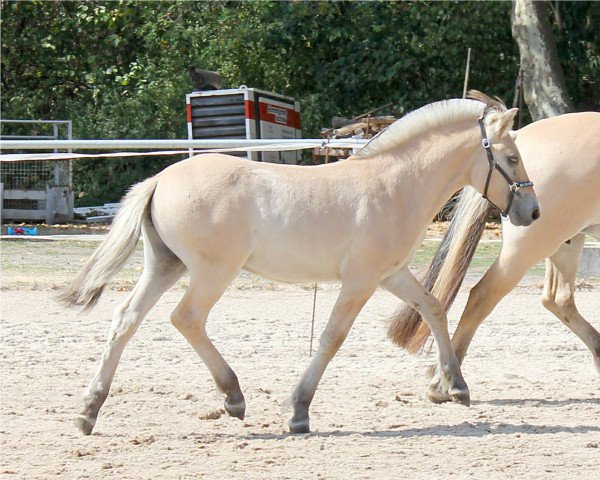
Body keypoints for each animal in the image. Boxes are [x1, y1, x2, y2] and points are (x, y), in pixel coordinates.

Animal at [62, 93, 540, 436]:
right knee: (186, 318)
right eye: (512, 158)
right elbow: (332, 337)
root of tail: (160, 179)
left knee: (125, 319)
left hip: (165, 266)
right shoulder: (360, 281)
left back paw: (88, 411)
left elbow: (433, 308)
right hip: (212, 272)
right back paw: (233, 397)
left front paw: (456, 387)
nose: (532, 212)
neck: (395, 185)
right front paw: (298, 411)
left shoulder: (391, 274)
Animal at [390, 110, 600, 400]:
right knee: (483, 295)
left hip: (567, 241)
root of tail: (519, 134)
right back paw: (444, 382)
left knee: (558, 299)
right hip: (530, 246)